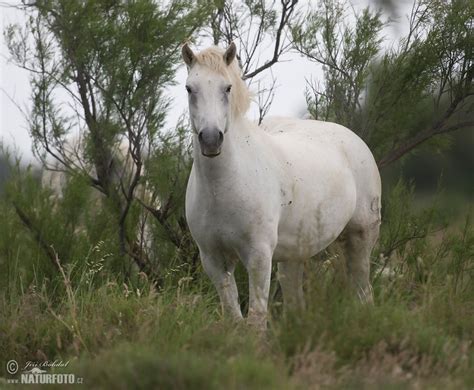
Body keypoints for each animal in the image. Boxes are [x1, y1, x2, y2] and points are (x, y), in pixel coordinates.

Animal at [182, 42, 382, 328]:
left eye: (227, 88)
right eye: (190, 88)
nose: (210, 140)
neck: (224, 187)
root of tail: (355, 140)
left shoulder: (259, 256)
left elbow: (256, 319)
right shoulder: (213, 259)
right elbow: (233, 316)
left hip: (362, 236)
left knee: (363, 291)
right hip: (292, 256)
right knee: (296, 303)